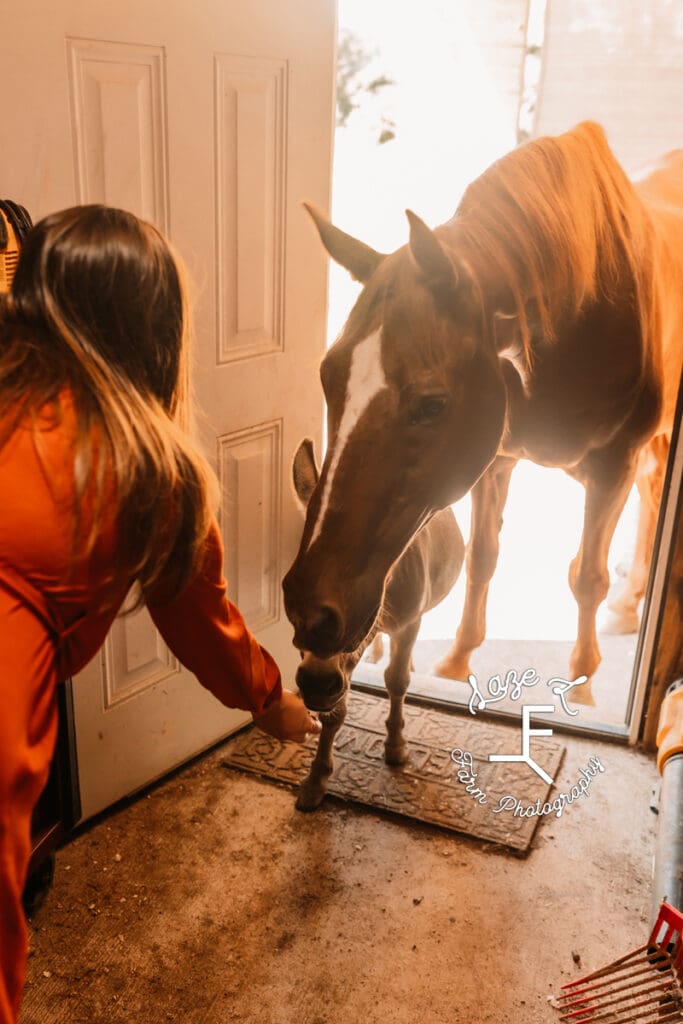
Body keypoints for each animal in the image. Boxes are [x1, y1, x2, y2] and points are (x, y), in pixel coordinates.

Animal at [282, 121, 683, 704]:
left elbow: (587, 577)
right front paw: (456, 661)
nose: (310, 610)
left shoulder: (614, 466)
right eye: (326, 377)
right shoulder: (496, 458)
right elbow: (482, 557)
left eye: (432, 405)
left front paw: (582, 689)